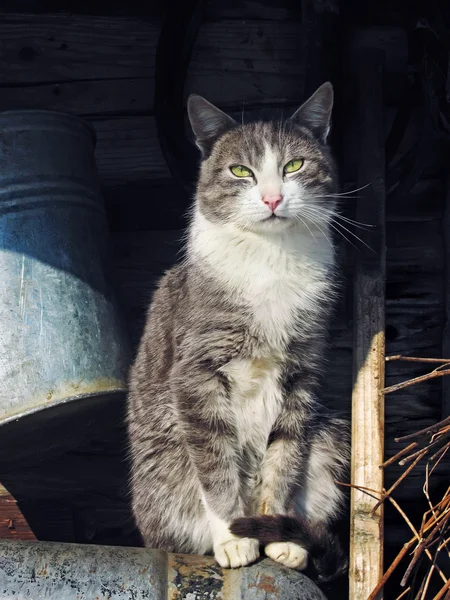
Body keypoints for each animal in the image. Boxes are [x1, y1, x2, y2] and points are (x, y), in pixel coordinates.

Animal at [128, 82, 350, 584]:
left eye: (294, 165)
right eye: (240, 171)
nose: (271, 198)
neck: (271, 258)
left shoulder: (303, 370)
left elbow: (285, 454)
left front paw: (280, 535)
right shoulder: (196, 372)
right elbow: (215, 461)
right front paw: (234, 537)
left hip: (329, 438)